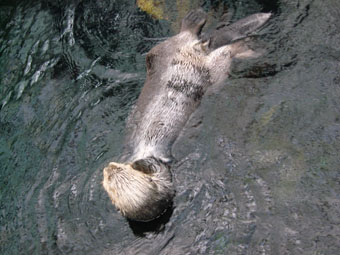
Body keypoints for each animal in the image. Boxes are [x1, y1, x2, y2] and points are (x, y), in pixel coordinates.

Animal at [102, 8, 272, 222]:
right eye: (108, 178)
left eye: (118, 170)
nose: (108, 167)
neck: (146, 149)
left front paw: (142, 162)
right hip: (215, 68)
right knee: (225, 49)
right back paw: (250, 46)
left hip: (162, 51)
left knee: (187, 36)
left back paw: (195, 18)